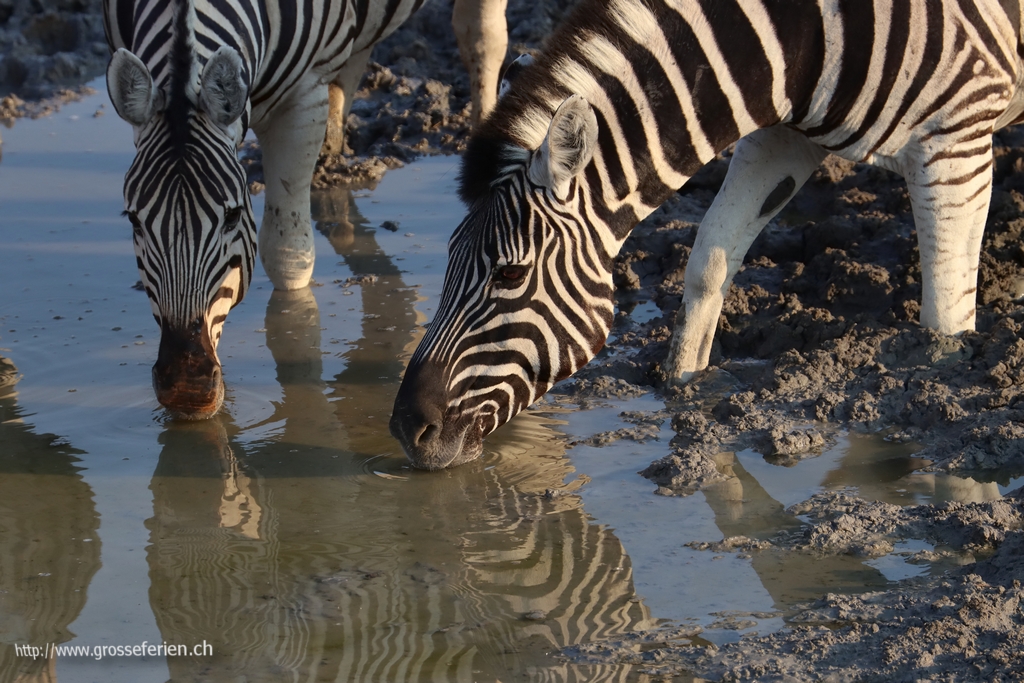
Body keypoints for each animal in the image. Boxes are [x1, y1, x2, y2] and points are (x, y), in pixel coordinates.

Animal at [390, 0, 1024, 469]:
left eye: (511, 272)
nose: (403, 428)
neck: (805, 36)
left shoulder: (956, 144)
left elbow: (945, 320)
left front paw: (935, 400)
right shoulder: (785, 135)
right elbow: (710, 258)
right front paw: (685, 384)